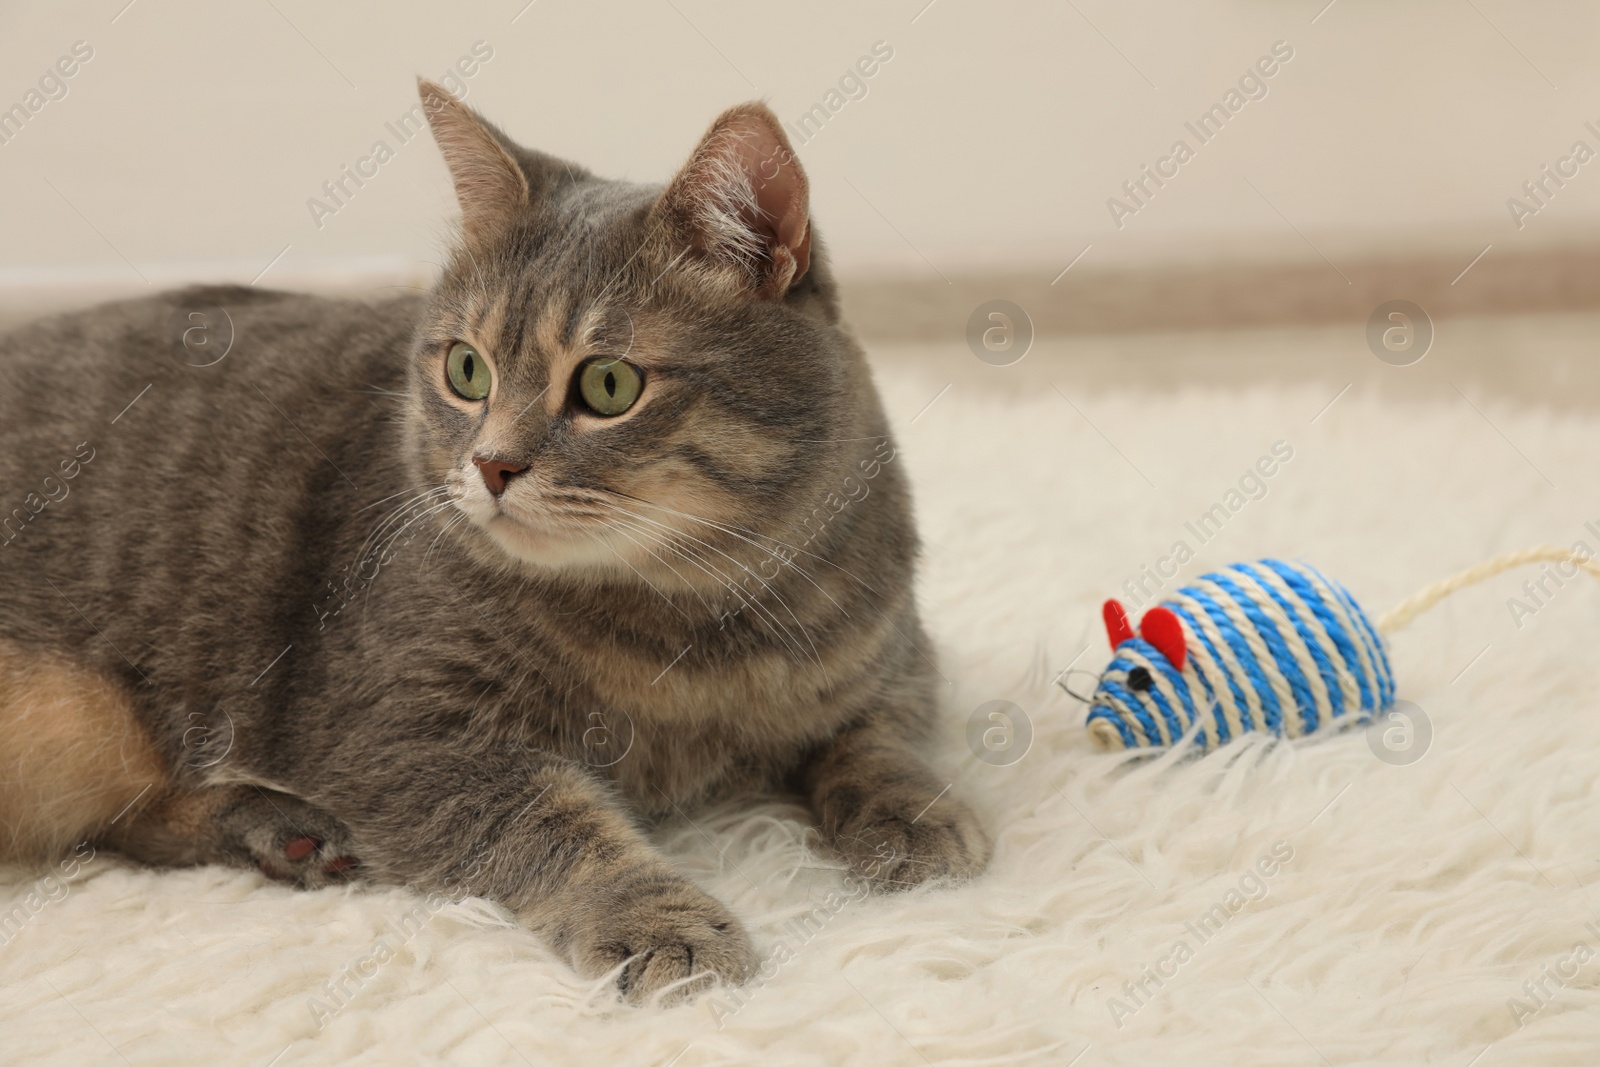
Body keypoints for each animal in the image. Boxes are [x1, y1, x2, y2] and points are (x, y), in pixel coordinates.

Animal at [0, 81, 985, 1004]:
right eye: (466, 369)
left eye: (609, 383)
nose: (491, 464)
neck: (698, 619)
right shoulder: (401, 734)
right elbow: (555, 822)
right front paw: (656, 919)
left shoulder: (895, 656)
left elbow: (879, 739)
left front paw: (916, 812)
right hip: (74, 714)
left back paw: (278, 830)